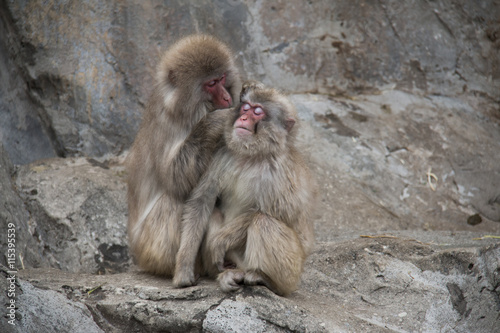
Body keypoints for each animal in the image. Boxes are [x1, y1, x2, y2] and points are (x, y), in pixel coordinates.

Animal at [126, 35, 241, 276]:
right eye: (211, 84)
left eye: (222, 78)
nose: (227, 97)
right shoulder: (167, 125)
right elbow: (175, 179)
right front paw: (214, 122)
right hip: (152, 250)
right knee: (174, 199)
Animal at [175, 81, 316, 296]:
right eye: (246, 108)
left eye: (257, 112)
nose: (243, 118)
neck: (251, 156)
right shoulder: (222, 153)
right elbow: (202, 201)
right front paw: (184, 266)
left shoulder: (279, 172)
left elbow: (279, 214)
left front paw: (219, 241)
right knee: (213, 212)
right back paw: (229, 273)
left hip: (293, 270)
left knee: (264, 221)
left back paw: (265, 279)